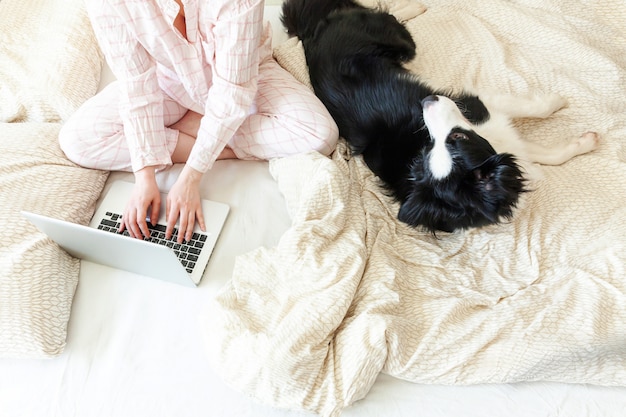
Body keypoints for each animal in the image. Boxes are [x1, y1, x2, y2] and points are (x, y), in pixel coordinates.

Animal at [280, 0, 596, 232]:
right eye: (435, 143)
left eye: (455, 137)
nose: (427, 100)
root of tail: (310, 34)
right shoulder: (479, 104)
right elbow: (534, 112)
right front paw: (558, 102)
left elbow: (548, 154)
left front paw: (582, 140)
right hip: (400, 43)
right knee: (389, 18)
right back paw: (412, 9)